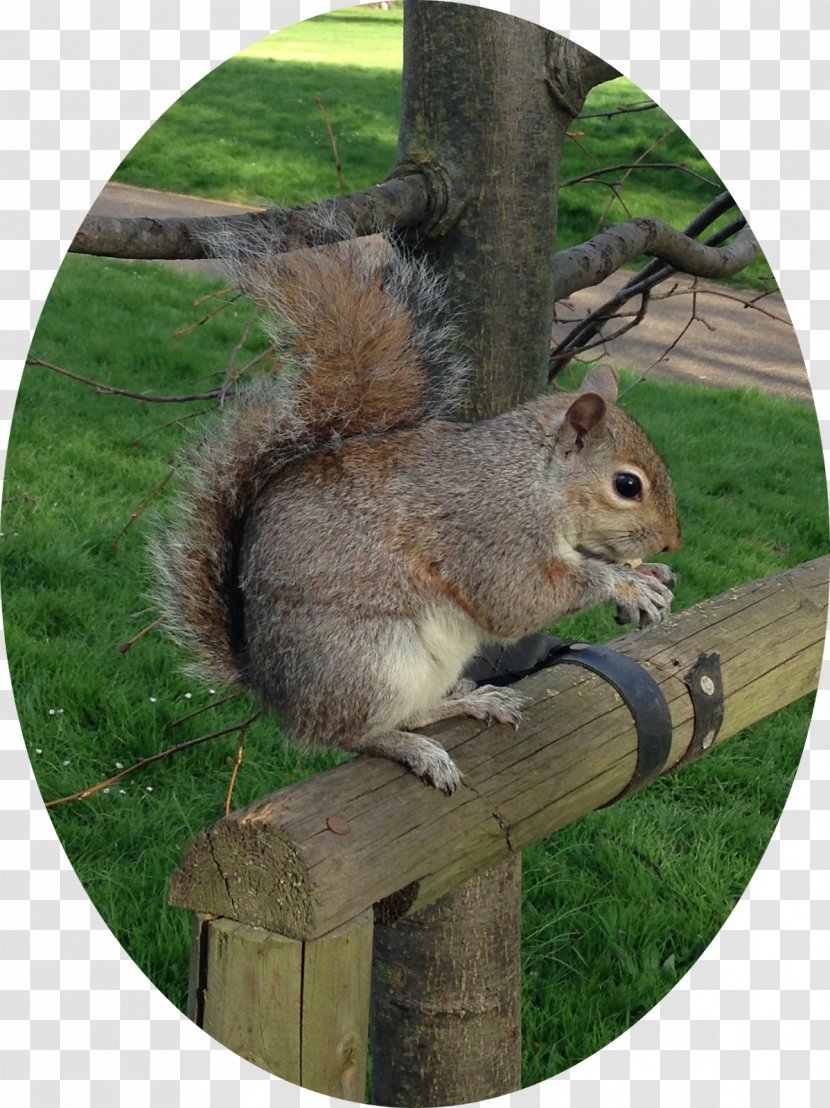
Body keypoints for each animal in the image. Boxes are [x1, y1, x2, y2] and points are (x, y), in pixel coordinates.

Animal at [154, 218, 678, 797]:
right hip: (368, 666)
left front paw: (651, 572)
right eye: (627, 485)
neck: (533, 479)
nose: (672, 540)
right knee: (351, 735)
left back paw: (471, 701)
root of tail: (272, 690)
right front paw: (624, 583)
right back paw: (412, 748)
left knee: (412, 713)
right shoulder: (488, 529)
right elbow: (518, 599)